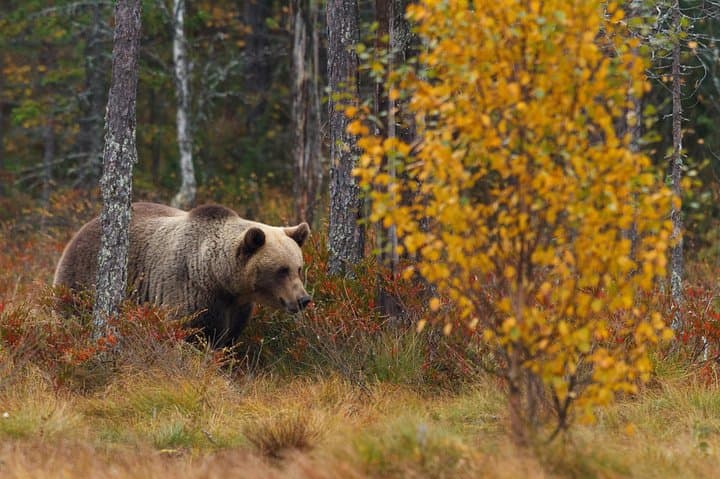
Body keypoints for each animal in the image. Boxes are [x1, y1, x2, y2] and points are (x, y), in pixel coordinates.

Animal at [53, 202, 311, 347]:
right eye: (281, 270)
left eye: (298, 267)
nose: (303, 299)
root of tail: (83, 229)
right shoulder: (189, 291)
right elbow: (193, 334)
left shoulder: (237, 307)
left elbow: (229, 338)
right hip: (80, 280)